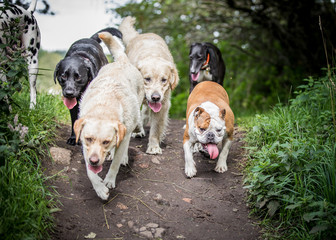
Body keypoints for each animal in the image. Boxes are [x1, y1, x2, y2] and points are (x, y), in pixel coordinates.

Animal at [74, 31, 144, 201]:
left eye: (105, 141)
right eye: (89, 139)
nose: (94, 161)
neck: (104, 107)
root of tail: (122, 61)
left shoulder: (123, 136)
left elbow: (115, 163)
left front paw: (109, 181)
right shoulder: (85, 145)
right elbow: (90, 172)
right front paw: (99, 188)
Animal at [119, 15, 180, 155]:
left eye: (164, 80)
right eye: (147, 79)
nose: (155, 97)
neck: (153, 54)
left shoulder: (163, 105)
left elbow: (156, 128)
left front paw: (153, 146)